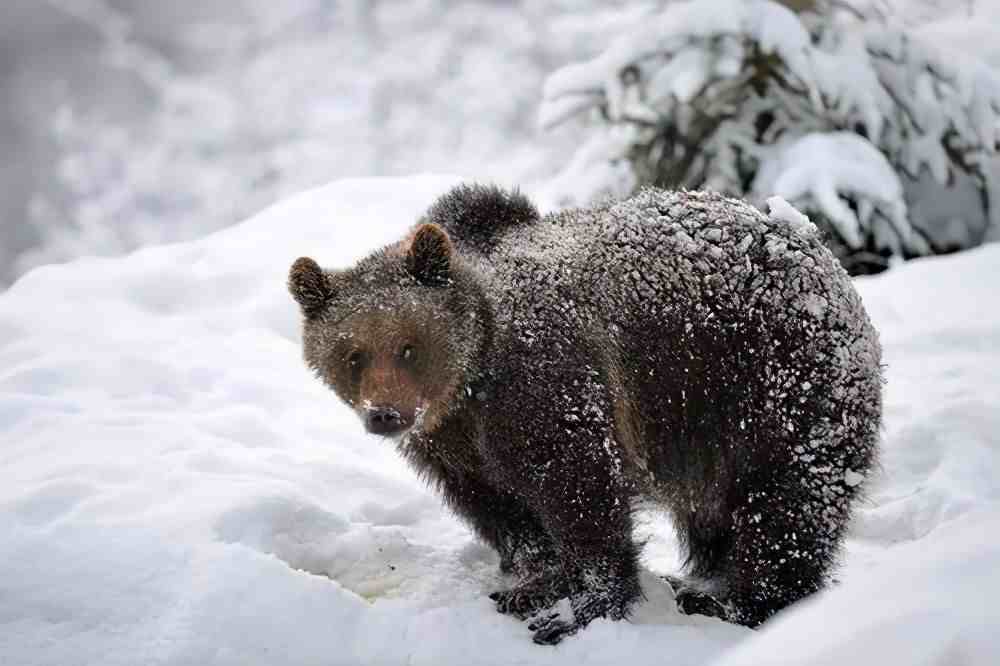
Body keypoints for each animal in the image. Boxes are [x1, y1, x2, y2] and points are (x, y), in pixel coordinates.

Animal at [288, 184, 884, 640]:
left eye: (409, 346)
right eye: (352, 353)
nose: (385, 415)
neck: (469, 385)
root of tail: (816, 247)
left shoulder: (545, 383)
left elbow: (578, 489)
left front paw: (578, 608)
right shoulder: (453, 445)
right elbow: (500, 507)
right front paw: (533, 582)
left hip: (769, 379)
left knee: (787, 502)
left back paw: (740, 601)